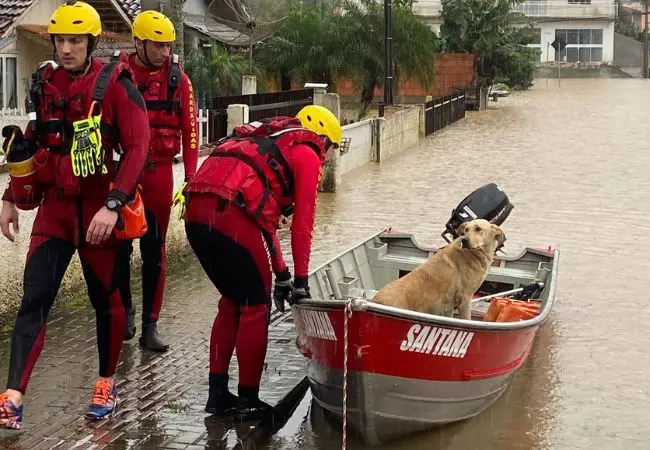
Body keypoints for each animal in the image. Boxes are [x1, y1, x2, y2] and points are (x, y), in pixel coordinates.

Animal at [372, 219, 504, 320]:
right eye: (466, 229)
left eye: (478, 229)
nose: (464, 240)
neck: (472, 254)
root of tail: (375, 301)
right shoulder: (465, 298)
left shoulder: (449, 307)